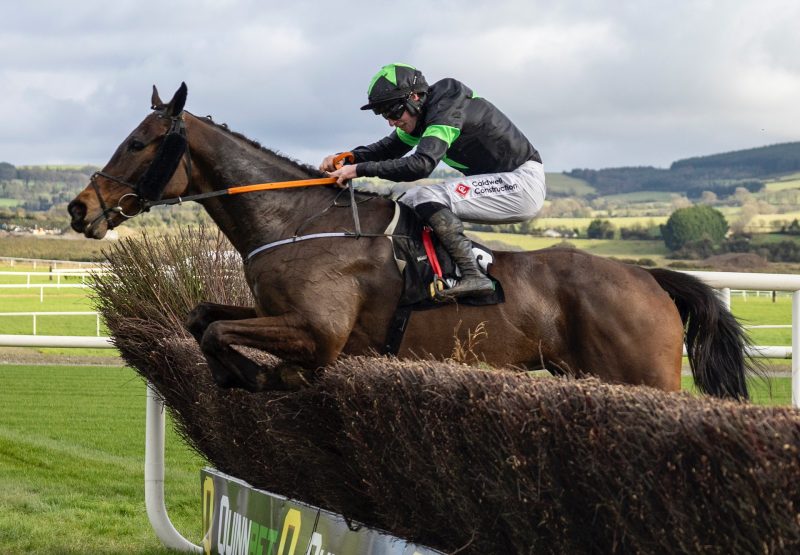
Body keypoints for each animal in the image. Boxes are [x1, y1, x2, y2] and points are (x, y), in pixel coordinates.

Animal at [67, 82, 756, 398]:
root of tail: (647, 276)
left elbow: (217, 332)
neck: (297, 220)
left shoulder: (319, 333)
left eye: (138, 143)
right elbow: (200, 317)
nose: (80, 209)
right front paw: (240, 372)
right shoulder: (273, 311)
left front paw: (259, 375)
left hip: (645, 378)